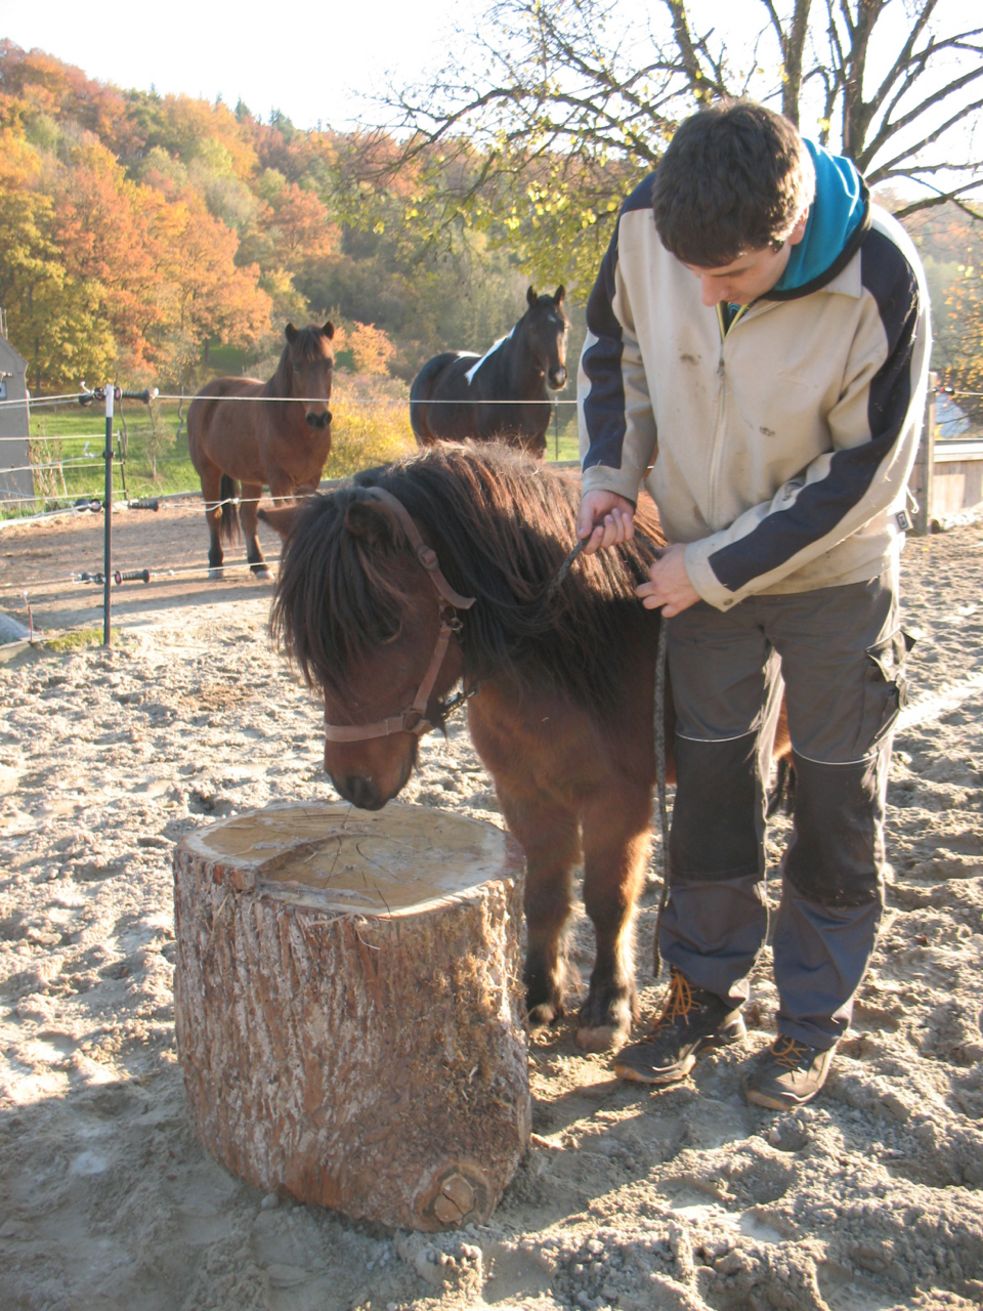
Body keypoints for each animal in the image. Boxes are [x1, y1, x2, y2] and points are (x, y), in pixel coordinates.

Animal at [186, 319, 338, 576]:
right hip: (209, 473)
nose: (318, 418)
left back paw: (258, 564)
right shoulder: (280, 481)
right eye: (297, 367)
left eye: (329, 364)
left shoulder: (309, 481)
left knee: (247, 516)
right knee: (214, 514)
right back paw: (216, 564)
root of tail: (205, 394)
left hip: (250, 479)